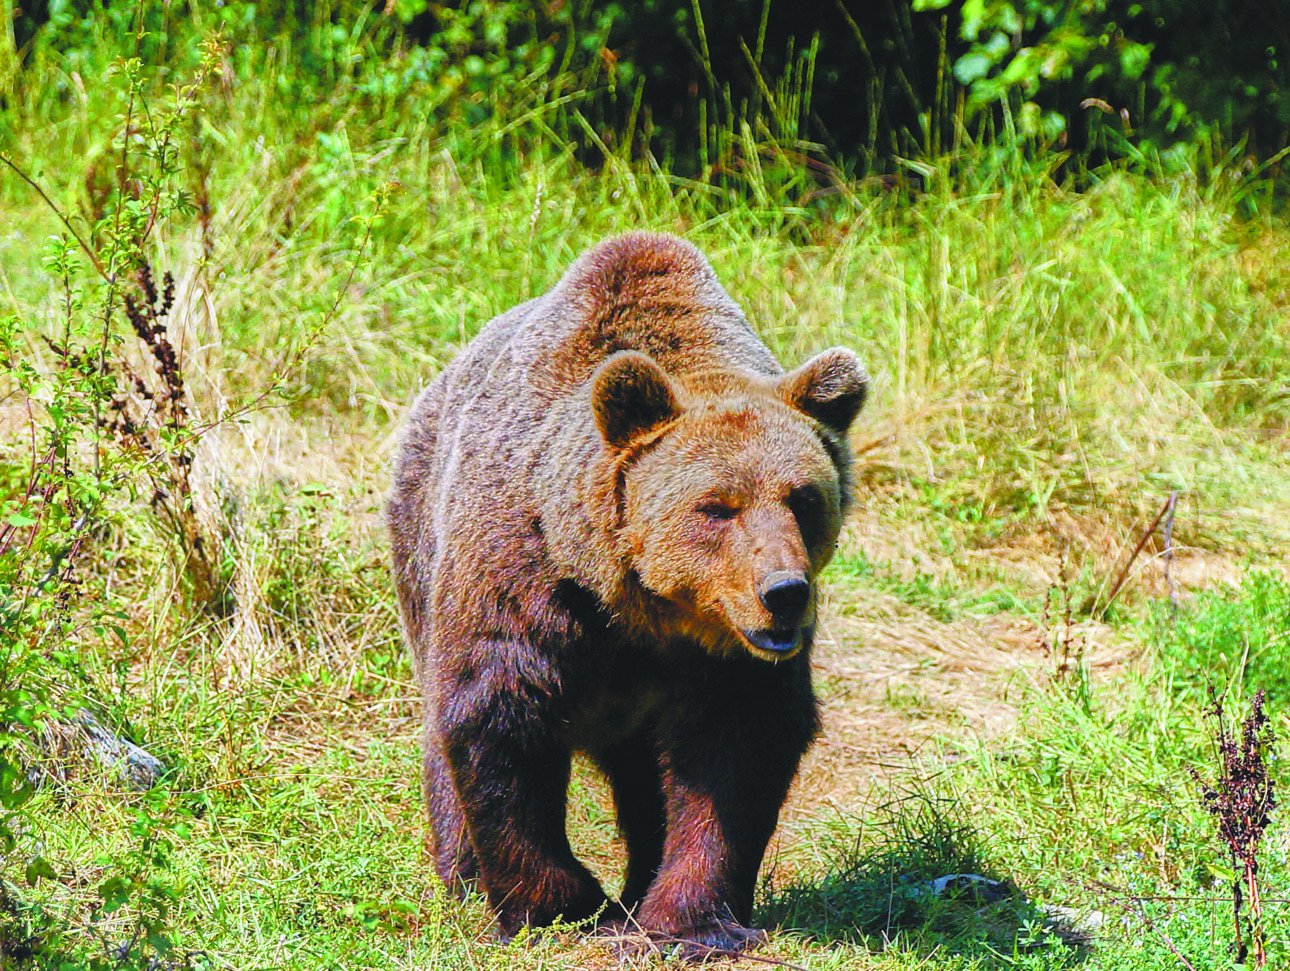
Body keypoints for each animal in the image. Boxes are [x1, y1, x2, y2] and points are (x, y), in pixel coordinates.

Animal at [384, 233, 866, 954]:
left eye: (803, 498)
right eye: (717, 506)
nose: (784, 593)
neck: (639, 609)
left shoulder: (725, 656)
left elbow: (733, 753)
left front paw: (688, 918)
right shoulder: (523, 571)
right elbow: (498, 712)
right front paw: (557, 903)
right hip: (420, 538)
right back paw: (465, 878)